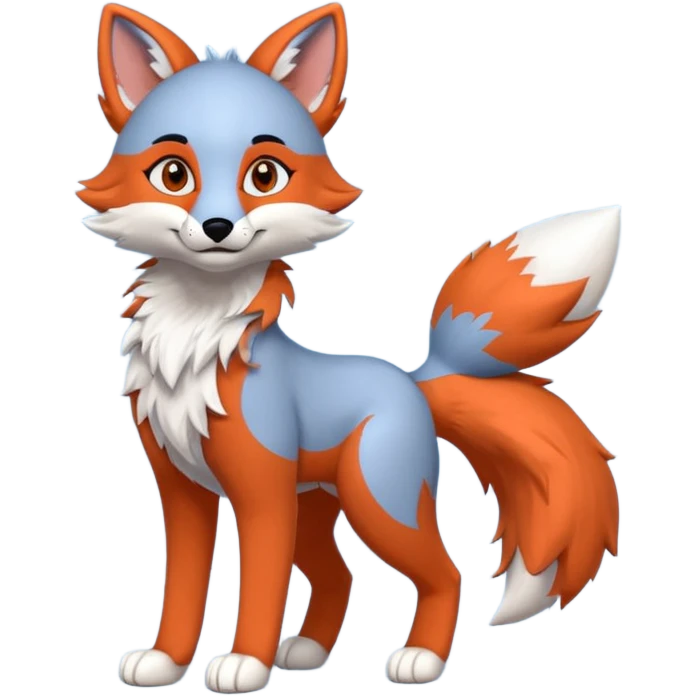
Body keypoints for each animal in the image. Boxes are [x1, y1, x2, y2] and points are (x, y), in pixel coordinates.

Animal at [79, 3, 622, 694]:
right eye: (173, 174)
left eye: (264, 175)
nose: (219, 228)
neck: (196, 338)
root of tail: (414, 380)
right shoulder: (182, 492)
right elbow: (182, 585)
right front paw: (168, 660)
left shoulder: (262, 494)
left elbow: (261, 583)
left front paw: (244, 663)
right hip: (317, 505)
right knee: (340, 574)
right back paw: (309, 650)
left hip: (378, 500)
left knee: (445, 571)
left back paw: (419, 659)